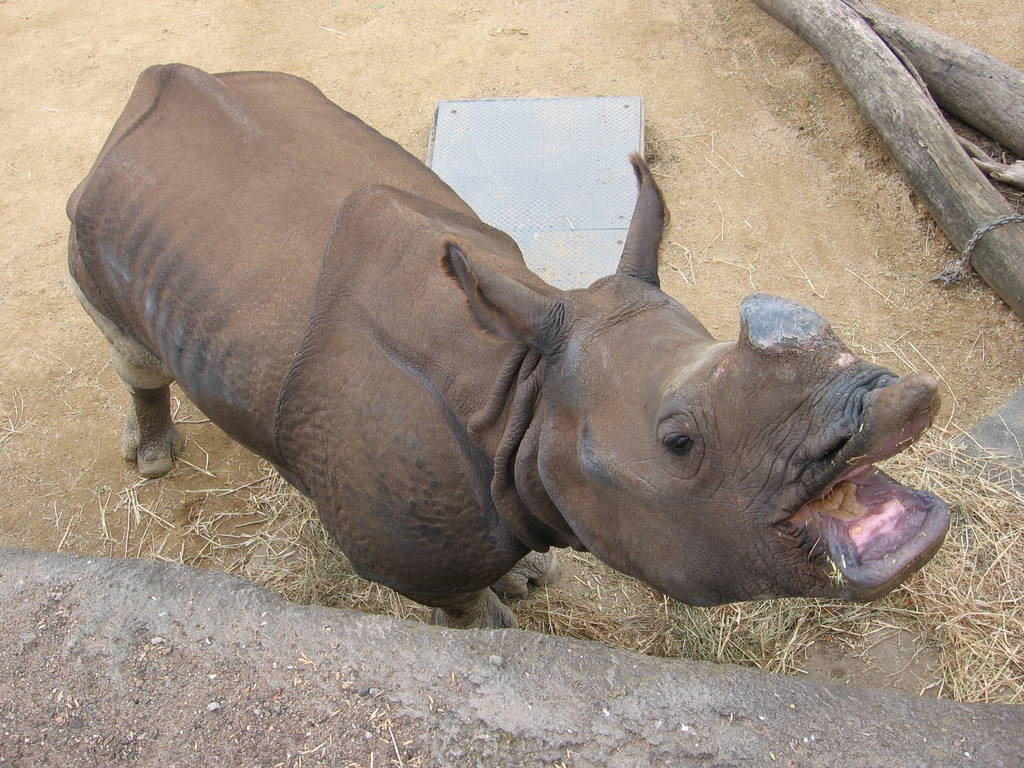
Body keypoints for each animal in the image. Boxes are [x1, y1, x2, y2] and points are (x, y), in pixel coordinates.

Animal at [67, 65, 950, 628]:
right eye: (679, 442)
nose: (896, 401)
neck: (520, 389)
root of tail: (150, 86)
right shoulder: (410, 559)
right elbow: (467, 611)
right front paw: (498, 623)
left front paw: (528, 575)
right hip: (93, 220)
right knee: (132, 345)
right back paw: (153, 460)